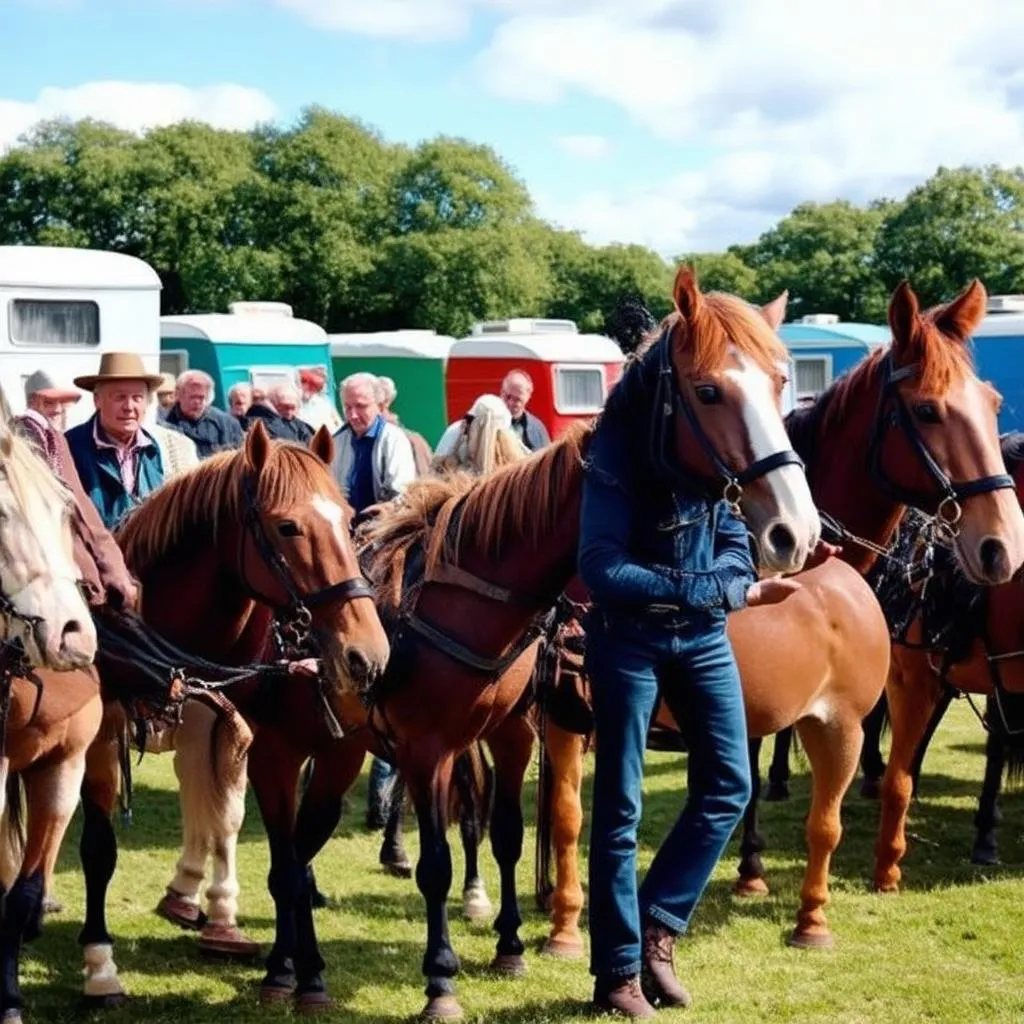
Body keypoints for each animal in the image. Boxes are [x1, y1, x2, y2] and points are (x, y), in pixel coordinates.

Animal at [54, 421, 391, 1007]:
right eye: (287, 526)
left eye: (349, 521)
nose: (365, 655)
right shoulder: (103, 734)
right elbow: (98, 848)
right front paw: (100, 968)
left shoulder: (274, 738)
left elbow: (269, 843)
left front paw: (297, 967)